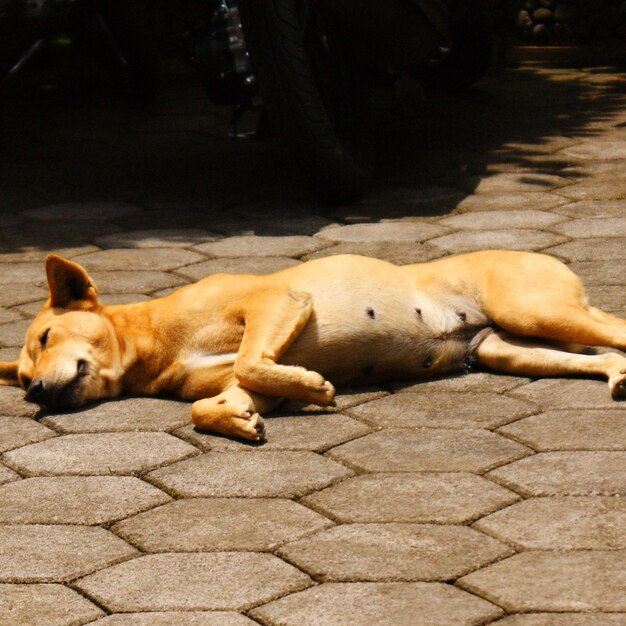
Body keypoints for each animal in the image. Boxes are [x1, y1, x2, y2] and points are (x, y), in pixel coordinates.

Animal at [1, 249, 624, 438]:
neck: (154, 342)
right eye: (24, 370)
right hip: (511, 348)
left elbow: (251, 362)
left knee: (614, 329)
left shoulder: (275, 302)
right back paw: (618, 378)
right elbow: (219, 399)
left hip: (535, 309)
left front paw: (315, 387)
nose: (33, 391)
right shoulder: (236, 381)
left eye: (47, 336)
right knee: (608, 355)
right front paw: (239, 422)